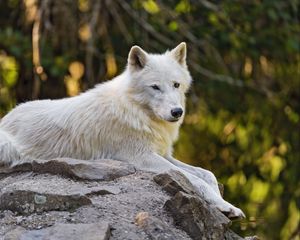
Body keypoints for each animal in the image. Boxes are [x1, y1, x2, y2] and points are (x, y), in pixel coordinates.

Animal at [0, 42, 244, 218]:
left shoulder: (163, 154)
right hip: (7, 146)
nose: (177, 112)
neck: (137, 111)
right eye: (155, 87)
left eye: (176, 84)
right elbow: (194, 179)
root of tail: (7, 117)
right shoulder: (143, 157)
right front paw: (224, 206)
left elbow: (207, 174)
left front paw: (227, 205)